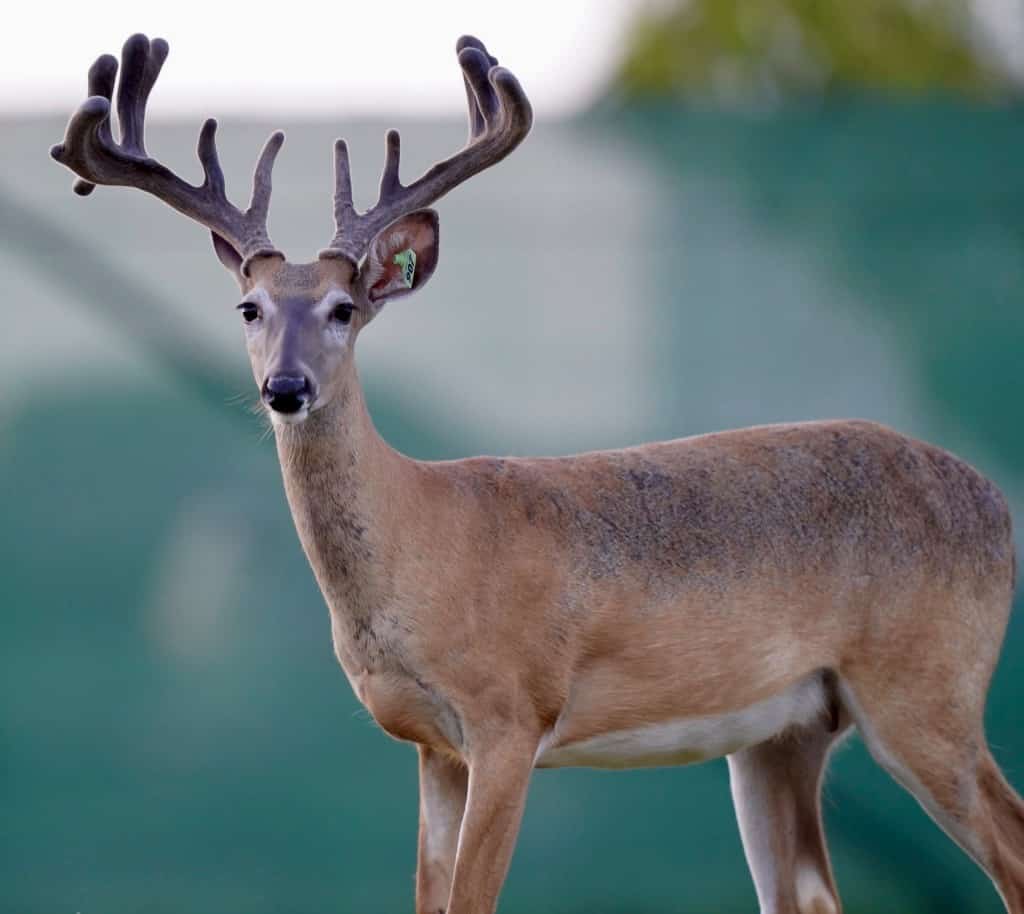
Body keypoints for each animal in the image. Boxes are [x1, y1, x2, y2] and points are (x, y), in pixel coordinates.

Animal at [51, 31, 1023, 914]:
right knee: (814, 893)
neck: (419, 542)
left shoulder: (509, 715)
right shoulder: (431, 746)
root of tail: (996, 504)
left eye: (343, 308)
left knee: (1009, 849)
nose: (284, 387)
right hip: (783, 732)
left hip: (926, 685)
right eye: (249, 307)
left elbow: (471, 900)